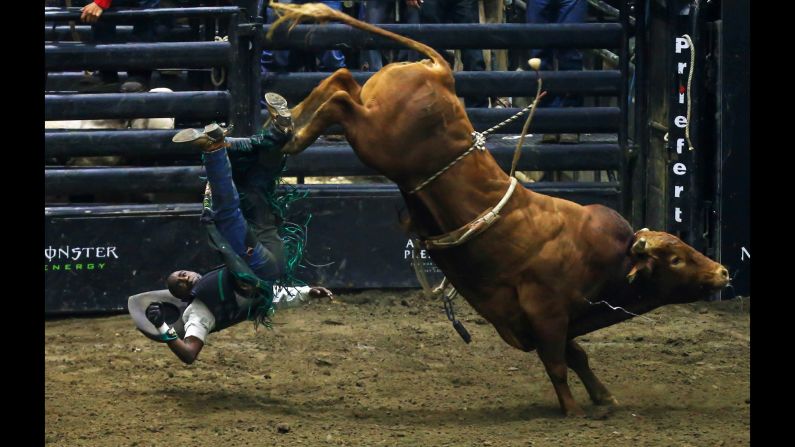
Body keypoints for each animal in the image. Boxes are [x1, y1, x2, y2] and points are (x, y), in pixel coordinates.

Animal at [268, 2, 732, 416]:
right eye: (675, 258)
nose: (723, 271)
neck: (606, 257)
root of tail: (441, 72)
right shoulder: (546, 312)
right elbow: (558, 364)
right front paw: (573, 411)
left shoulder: (554, 319)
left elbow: (577, 355)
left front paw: (603, 397)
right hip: (376, 139)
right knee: (341, 98)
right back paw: (292, 129)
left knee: (342, 80)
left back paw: (287, 119)